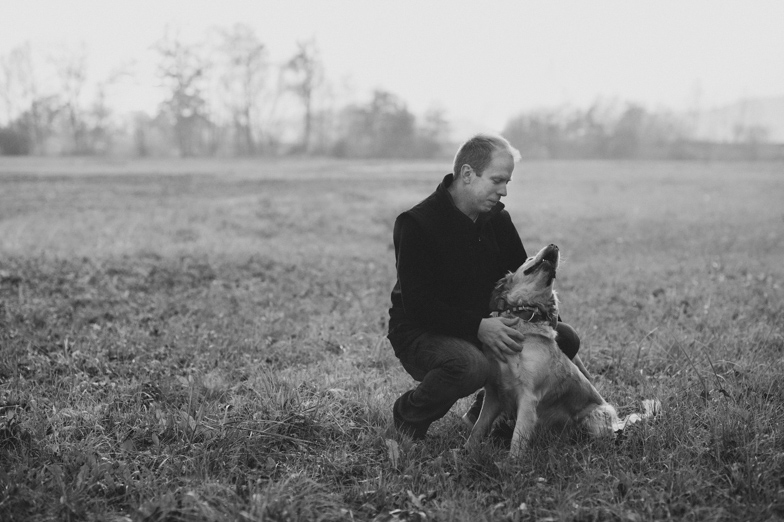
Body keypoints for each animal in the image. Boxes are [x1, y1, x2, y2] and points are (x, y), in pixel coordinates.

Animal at [462, 244, 660, 456]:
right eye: (529, 258)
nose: (554, 246)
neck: (524, 320)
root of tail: (618, 422)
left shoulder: (528, 397)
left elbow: (517, 440)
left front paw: (512, 464)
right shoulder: (493, 392)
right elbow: (478, 427)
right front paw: (465, 453)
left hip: (596, 419)